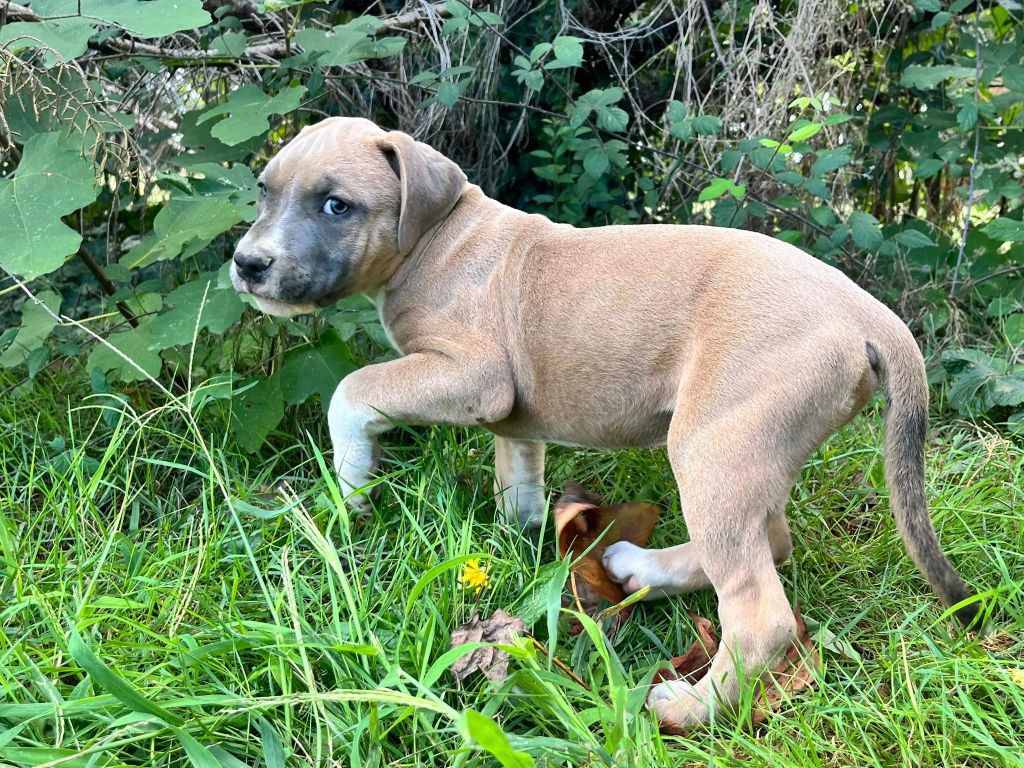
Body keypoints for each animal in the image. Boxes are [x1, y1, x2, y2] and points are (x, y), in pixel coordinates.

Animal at [230, 116, 978, 731]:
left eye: (336, 205)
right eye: (263, 191)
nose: (247, 264)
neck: (435, 238)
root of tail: (868, 314)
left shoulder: (473, 374)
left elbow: (351, 392)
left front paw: (350, 491)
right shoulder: (511, 411)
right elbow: (518, 472)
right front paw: (521, 536)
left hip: (710, 444)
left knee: (759, 610)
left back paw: (689, 708)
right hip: (746, 449)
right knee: (771, 540)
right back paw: (640, 566)